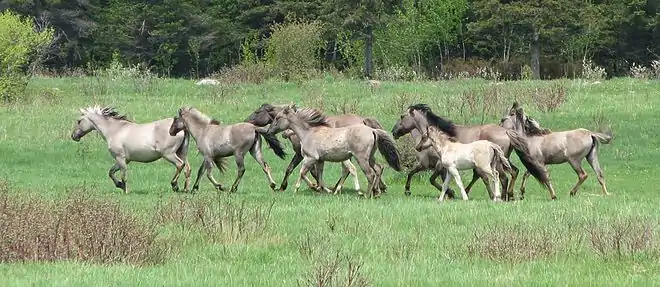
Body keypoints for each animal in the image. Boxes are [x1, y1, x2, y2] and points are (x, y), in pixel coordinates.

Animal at [244, 102, 386, 195]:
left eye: (257, 112)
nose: (246, 121)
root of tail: (365, 122)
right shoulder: (314, 157)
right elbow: (310, 172)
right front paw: (318, 187)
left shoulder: (304, 155)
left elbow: (299, 170)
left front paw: (290, 187)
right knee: (377, 168)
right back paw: (377, 189)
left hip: (356, 157)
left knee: (360, 171)